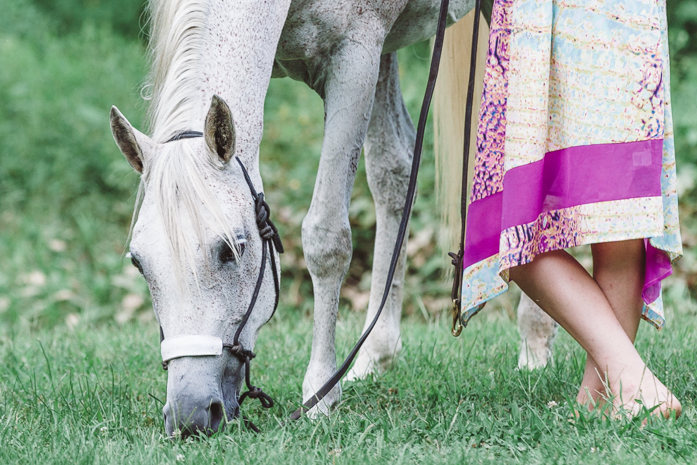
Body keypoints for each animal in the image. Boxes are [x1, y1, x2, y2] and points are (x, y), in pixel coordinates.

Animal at [110, 0, 556, 436]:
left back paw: (536, 338)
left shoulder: (354, 61)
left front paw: (320, 392)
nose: (190, 415)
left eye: (231, 249)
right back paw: (375, 353)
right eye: (139, 263)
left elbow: (327, 238)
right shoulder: (371, 53)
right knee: (394, 171)